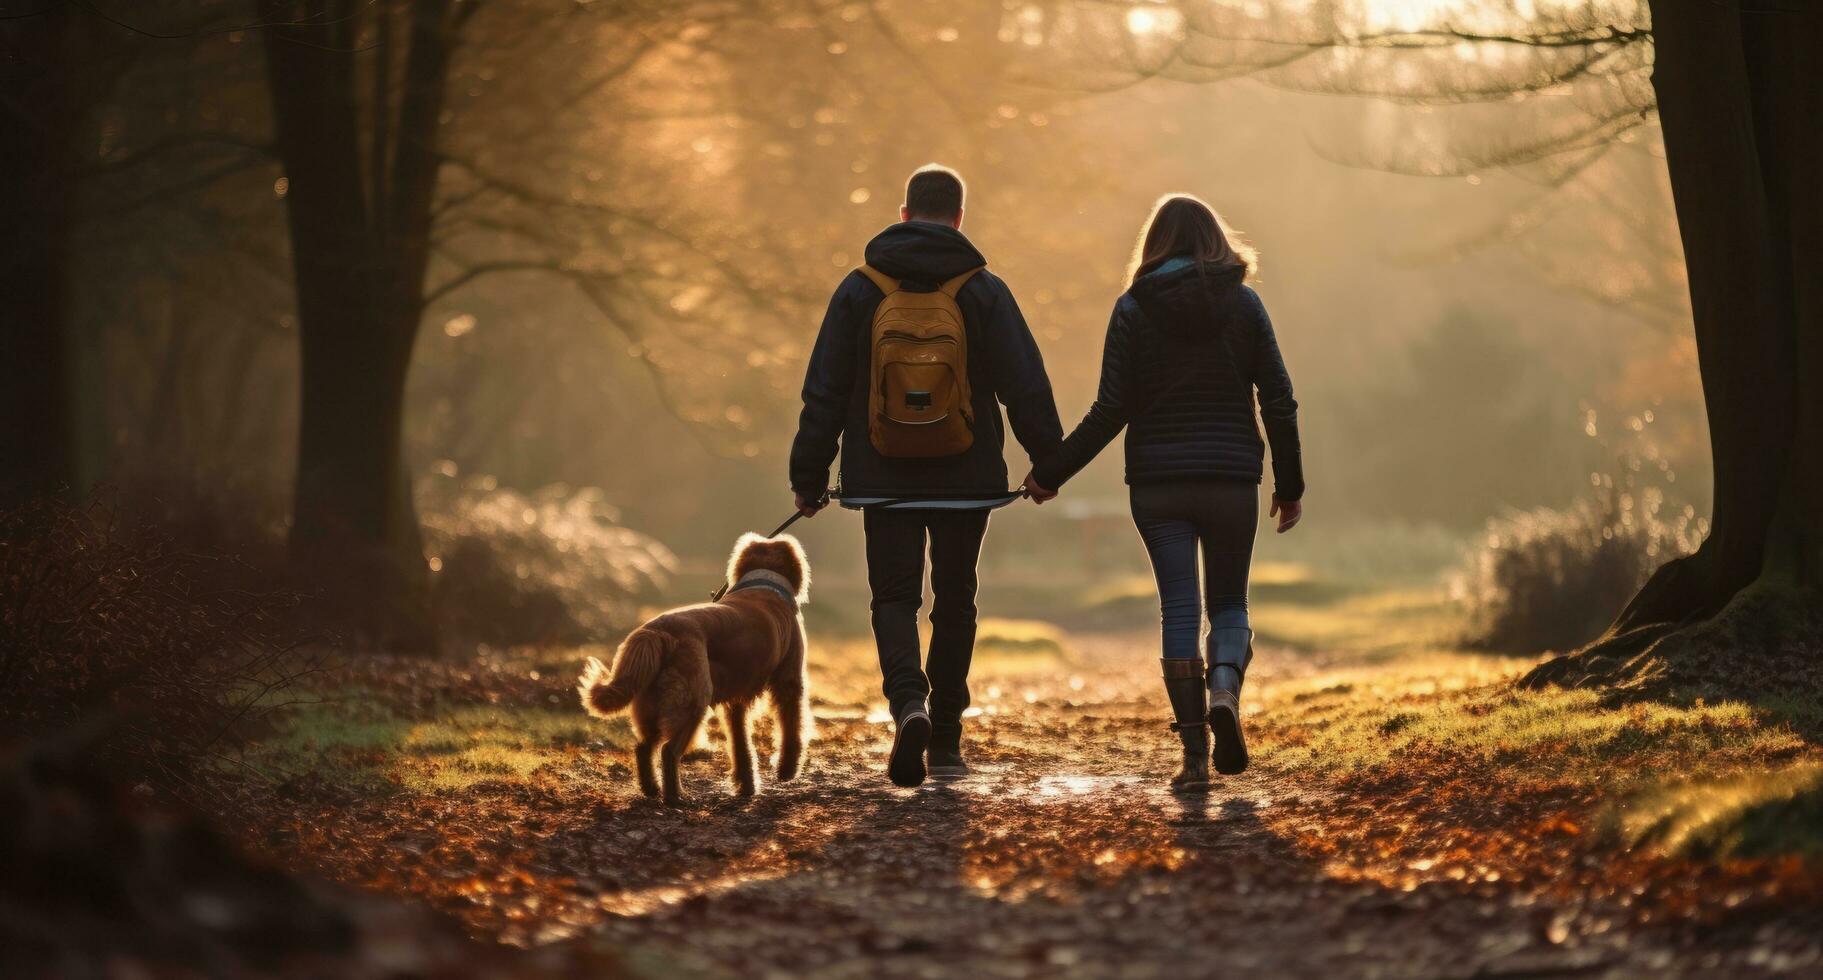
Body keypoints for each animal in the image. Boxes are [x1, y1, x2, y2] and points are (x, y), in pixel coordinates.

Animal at [579, 535, 809, 801]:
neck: (765, 583)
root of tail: (657, 632)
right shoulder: (788, 683)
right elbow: (792, 728)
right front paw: (787, 770)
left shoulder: (736, 703)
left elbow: (740, 745)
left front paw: (746, 787)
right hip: (692, 703)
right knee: (668, 751)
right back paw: (675, 796)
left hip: (653, 704)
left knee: (643, 747)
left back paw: (651, 789)